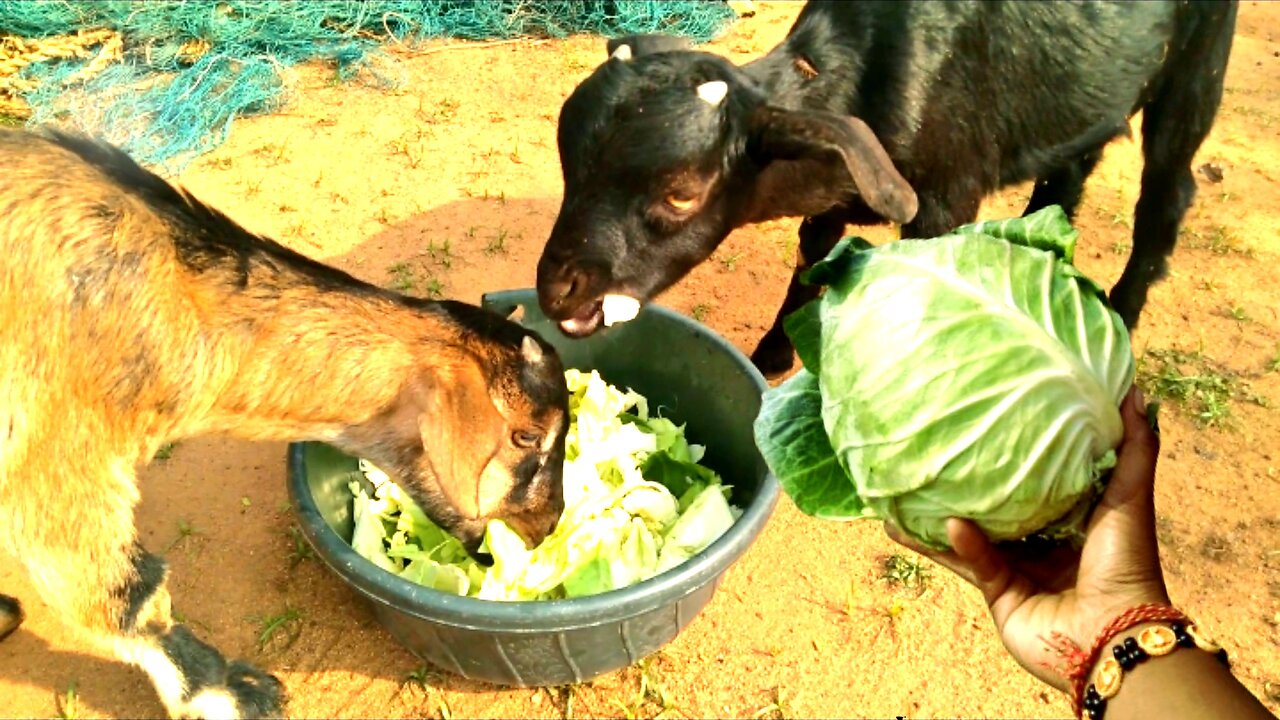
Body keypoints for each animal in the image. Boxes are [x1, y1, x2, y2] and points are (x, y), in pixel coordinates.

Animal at [0, 126, 570, 712]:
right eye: (527, 435)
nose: (549, 524)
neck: (176, 301)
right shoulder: (59, 438)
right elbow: (123, 593)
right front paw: (236, 694)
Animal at [537, 1, 1239, 376]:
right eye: (570, 163)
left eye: (681, 192)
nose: (556, 289)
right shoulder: (834, 190)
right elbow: (810, 260)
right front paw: (771, 356)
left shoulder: (946, 200)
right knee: (1066, 177)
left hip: (1198, 67)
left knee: (1167, 191)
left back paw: (1121, 312)